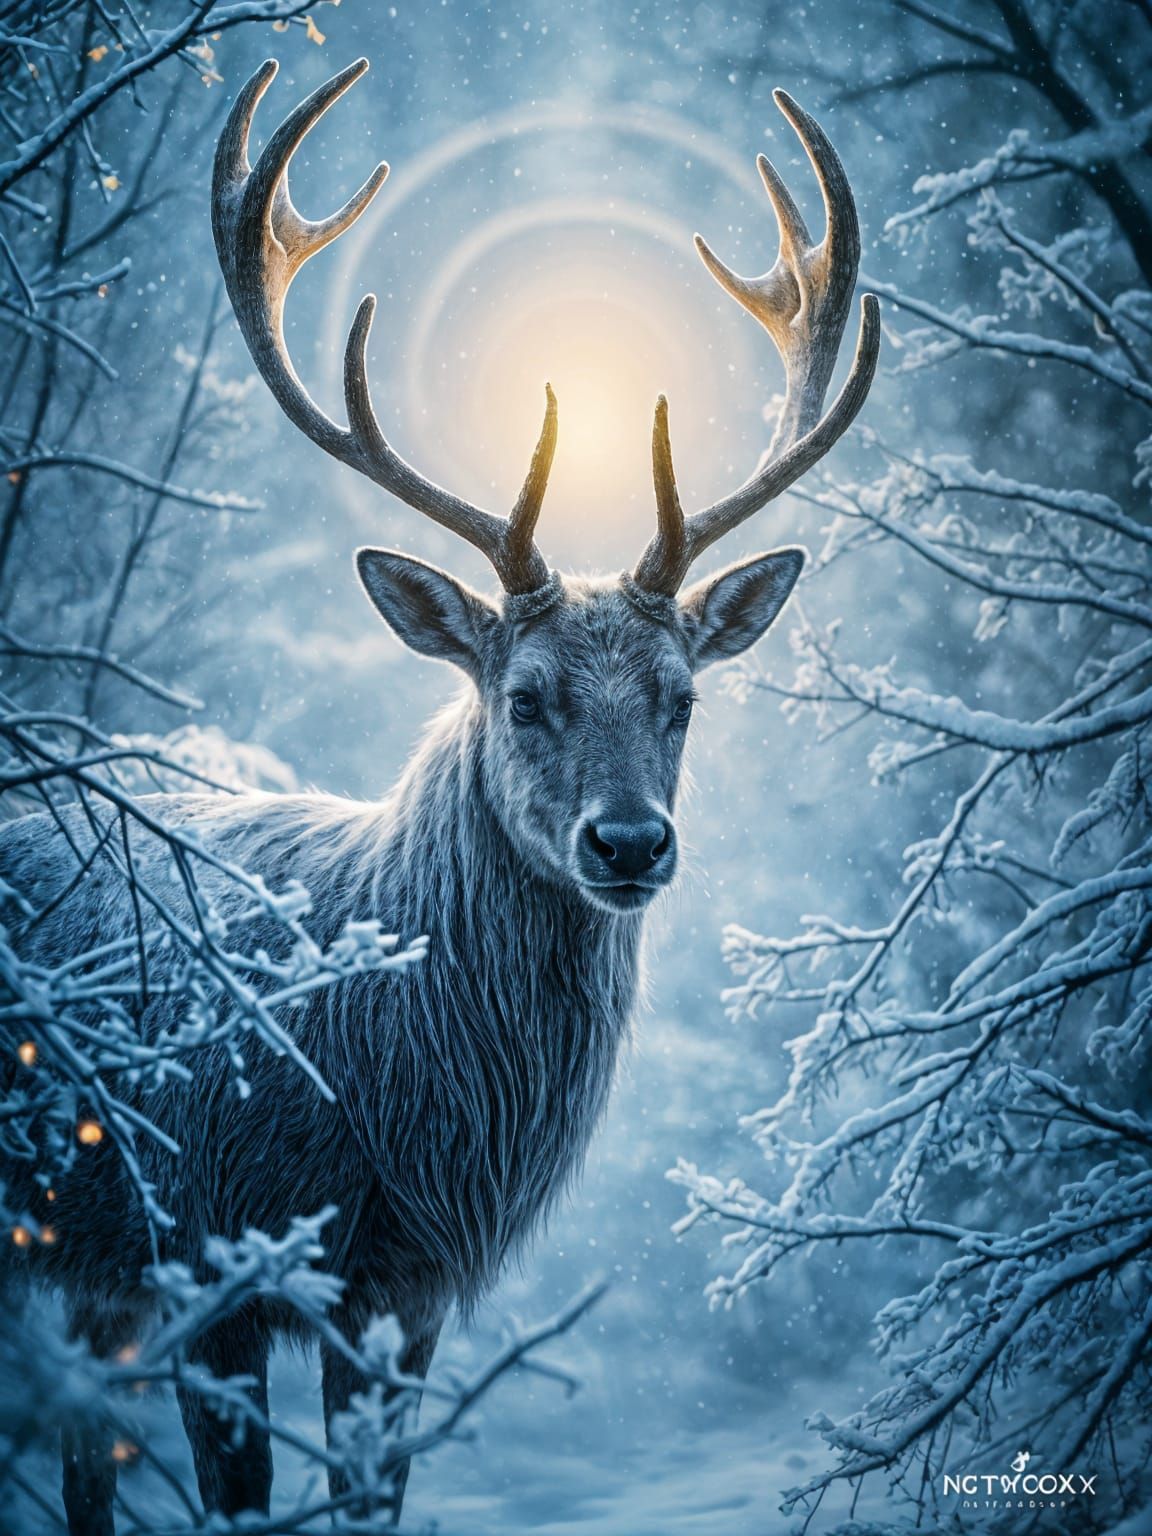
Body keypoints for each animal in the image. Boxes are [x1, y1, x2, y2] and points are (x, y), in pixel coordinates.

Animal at [0, 57, 877, 1534]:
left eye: (684, 699)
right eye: (524, 695)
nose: (628, 841)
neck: (390, 1106)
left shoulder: (403, 1293)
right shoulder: (213, 1242)